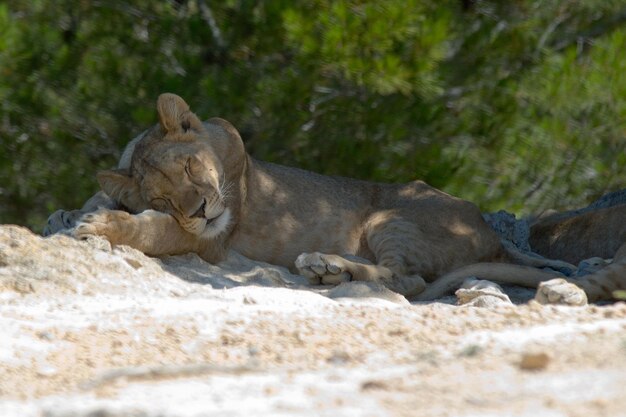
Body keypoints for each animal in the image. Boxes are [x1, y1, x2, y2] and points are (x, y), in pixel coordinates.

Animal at [44, 93, 624, 302]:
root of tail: (491, 231)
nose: (201, 209)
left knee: (409, 280)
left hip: (392, 215)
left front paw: (99, 228)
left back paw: (326, 267)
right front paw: (73, 213)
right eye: (163, 196)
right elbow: (105, 200)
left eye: (189, 168)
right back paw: (328, 270)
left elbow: (147, 231)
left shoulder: (215, 239)